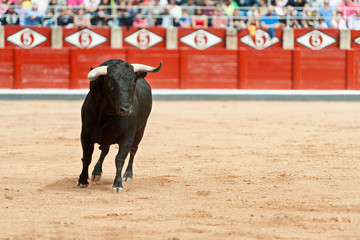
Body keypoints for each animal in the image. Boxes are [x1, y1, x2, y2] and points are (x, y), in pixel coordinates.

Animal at [77, 59, 162, 192]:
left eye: (133, 83)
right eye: (110, 84)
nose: (126, 110)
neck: (106, 115)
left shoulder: (127, 137)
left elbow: (120, 159)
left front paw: (117, 184)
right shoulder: (85, 135)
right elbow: (86, 158)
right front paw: (82, 180)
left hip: (140, 131)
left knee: (133, 151)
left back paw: (128, 174)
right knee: (105, 150)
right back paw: (96, 172)